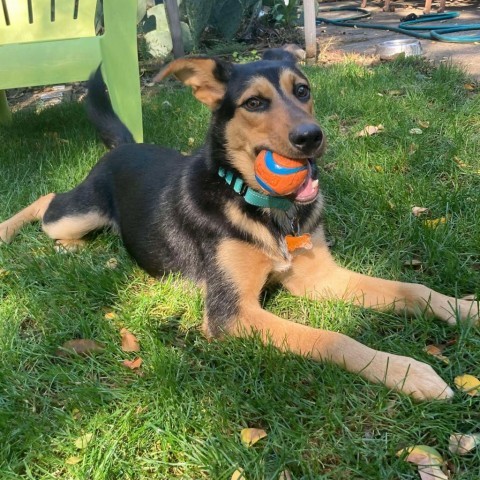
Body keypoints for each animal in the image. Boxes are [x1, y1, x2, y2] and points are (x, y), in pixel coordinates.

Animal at [0, 49, 478, 402]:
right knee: (48, 201)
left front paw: (465, 309)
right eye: (254, 103)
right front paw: (408, 372)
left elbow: (413, 289)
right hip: (81, 212)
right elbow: (331, 338)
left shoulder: (318, 276)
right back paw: (13, 231)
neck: (264, 206)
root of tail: (124, 146)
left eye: (302, 91)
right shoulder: (230, 314)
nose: (312, 137)